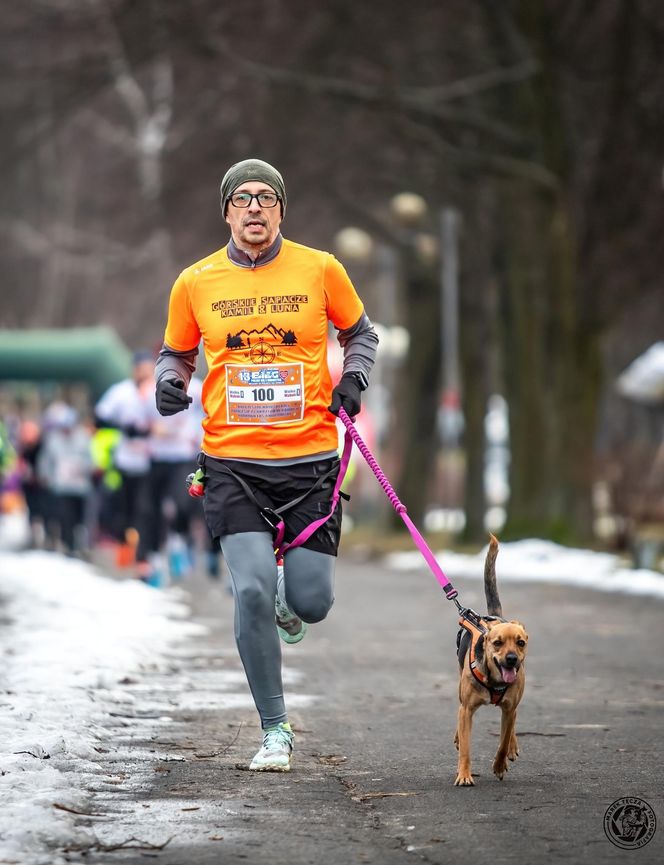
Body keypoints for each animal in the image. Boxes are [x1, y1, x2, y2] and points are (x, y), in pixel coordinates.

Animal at [454, 532, 528, 784]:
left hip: (513, 705)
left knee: (512, 725)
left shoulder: (509, 708)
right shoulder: (467, 710)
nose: (512, 659)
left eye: (521, 642)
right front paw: (464, 775)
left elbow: (503, 742)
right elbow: (466, 748)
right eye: (497, 643)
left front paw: (499, 765)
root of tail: (493, 617)